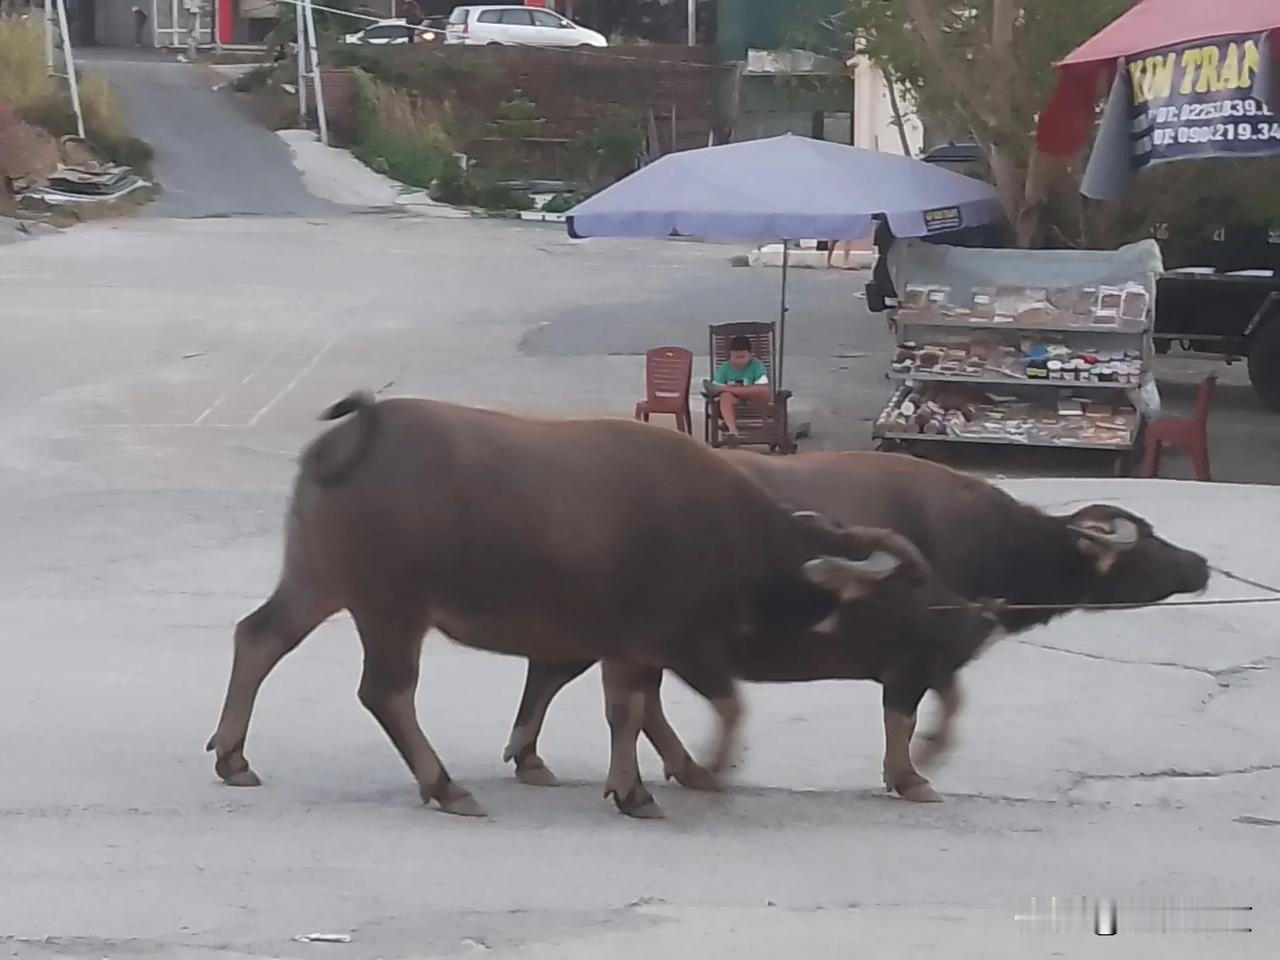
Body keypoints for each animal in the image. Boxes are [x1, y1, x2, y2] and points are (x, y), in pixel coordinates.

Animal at [207, 399, 988, 819]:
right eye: (909, 586)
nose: (968, 620)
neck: (743, 538)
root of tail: (351, 435)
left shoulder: (631, 648)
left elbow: (628, 711)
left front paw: (635, 788)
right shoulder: (679, 643)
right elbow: (712, 708)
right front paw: (705, 770)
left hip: (319, 581)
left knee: (259, 637)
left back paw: (234, 756)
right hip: (390, 608)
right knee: (386, 691)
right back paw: (446, 786)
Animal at [501, 450, 1208, 803]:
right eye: (1147, 542)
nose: (1200, 565)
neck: (991, 541)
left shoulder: (934, 654)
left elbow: (947, 704)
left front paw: (926, 759)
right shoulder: (916, 654)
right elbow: (911, 714)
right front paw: (914, 773)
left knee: (623, 697)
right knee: (562, 677)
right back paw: (537, 758)